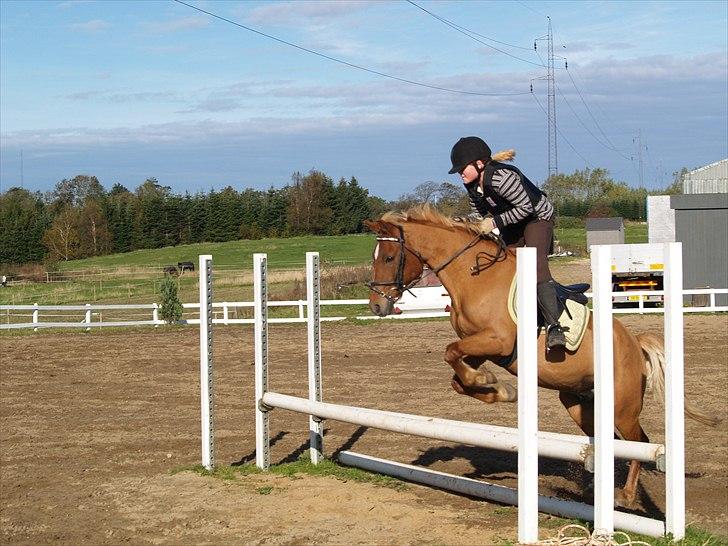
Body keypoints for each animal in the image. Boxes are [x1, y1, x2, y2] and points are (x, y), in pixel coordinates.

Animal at [362, 205, 712, 510]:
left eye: (390, 257)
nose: (377, 306)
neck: (473, 277)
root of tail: (635, 344)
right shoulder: (479, 348)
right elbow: (457, 376)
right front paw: (497, 388)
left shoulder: (498, 342)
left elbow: (451, 354)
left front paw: (491, 384)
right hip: (579, 403)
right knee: (609, 441)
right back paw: (595, 488)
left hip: (622, 406)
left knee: (639, 441)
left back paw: (624, 496)